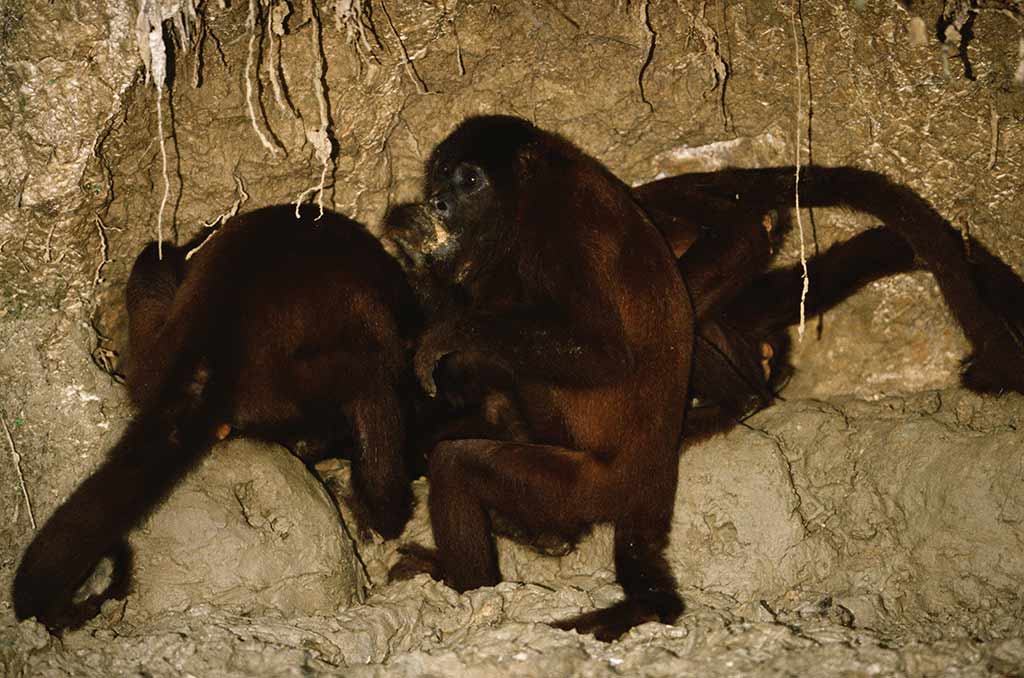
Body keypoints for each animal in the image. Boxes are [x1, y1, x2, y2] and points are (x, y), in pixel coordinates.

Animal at [13, 205, 424, 633]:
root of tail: (209, 353)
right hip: (352, 368)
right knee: (375, 420)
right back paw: (383, 510)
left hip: (153, 338)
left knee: (153, 261)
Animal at [381, 114, 694, 641]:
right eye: (440, 177)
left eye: (469, 180)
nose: (439, 201)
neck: (541, 190)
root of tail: (654, 483)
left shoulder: (559, 240)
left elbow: (605, 356)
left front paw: (446, 321)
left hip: (587, 488)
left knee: (457, 463)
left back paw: (468, 583)